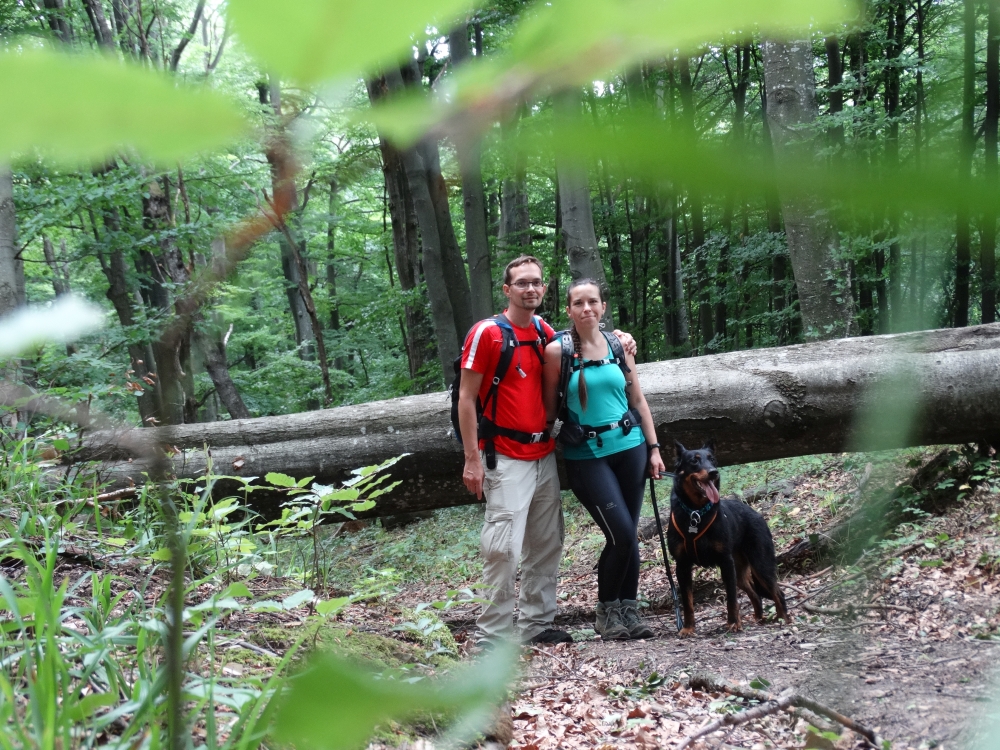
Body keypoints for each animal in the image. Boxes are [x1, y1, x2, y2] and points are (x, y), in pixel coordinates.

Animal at [668, 440, 792, 640]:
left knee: (778, 592)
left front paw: (733, 623)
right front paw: (688, 628)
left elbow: (732, 598)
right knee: (756, 594)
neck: (696, 513)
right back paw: (759, 619)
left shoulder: (725, 562)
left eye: (712, 459)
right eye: (694, 461)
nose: (713, 472)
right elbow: (687, 602)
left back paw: (783, 619)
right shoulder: (682, 565)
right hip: (741, 572)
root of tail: (757, 514)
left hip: (760, 564)